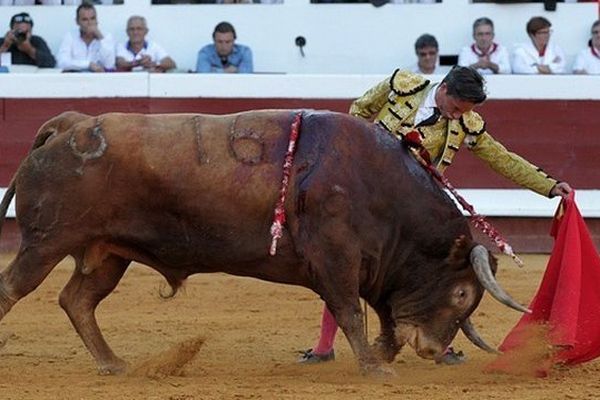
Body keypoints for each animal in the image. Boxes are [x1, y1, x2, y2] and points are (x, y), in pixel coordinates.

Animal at [0, 109, 524, 376]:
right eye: (461, 292)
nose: (435, 350)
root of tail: (71, 124)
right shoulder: (336, 258)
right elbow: (350, 311)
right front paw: (377, 370)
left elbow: (380, 317)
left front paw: (380, 358)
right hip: (46, 241)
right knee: (14, 289)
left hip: (107, 252)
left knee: (78, 299)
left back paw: (115, 365)